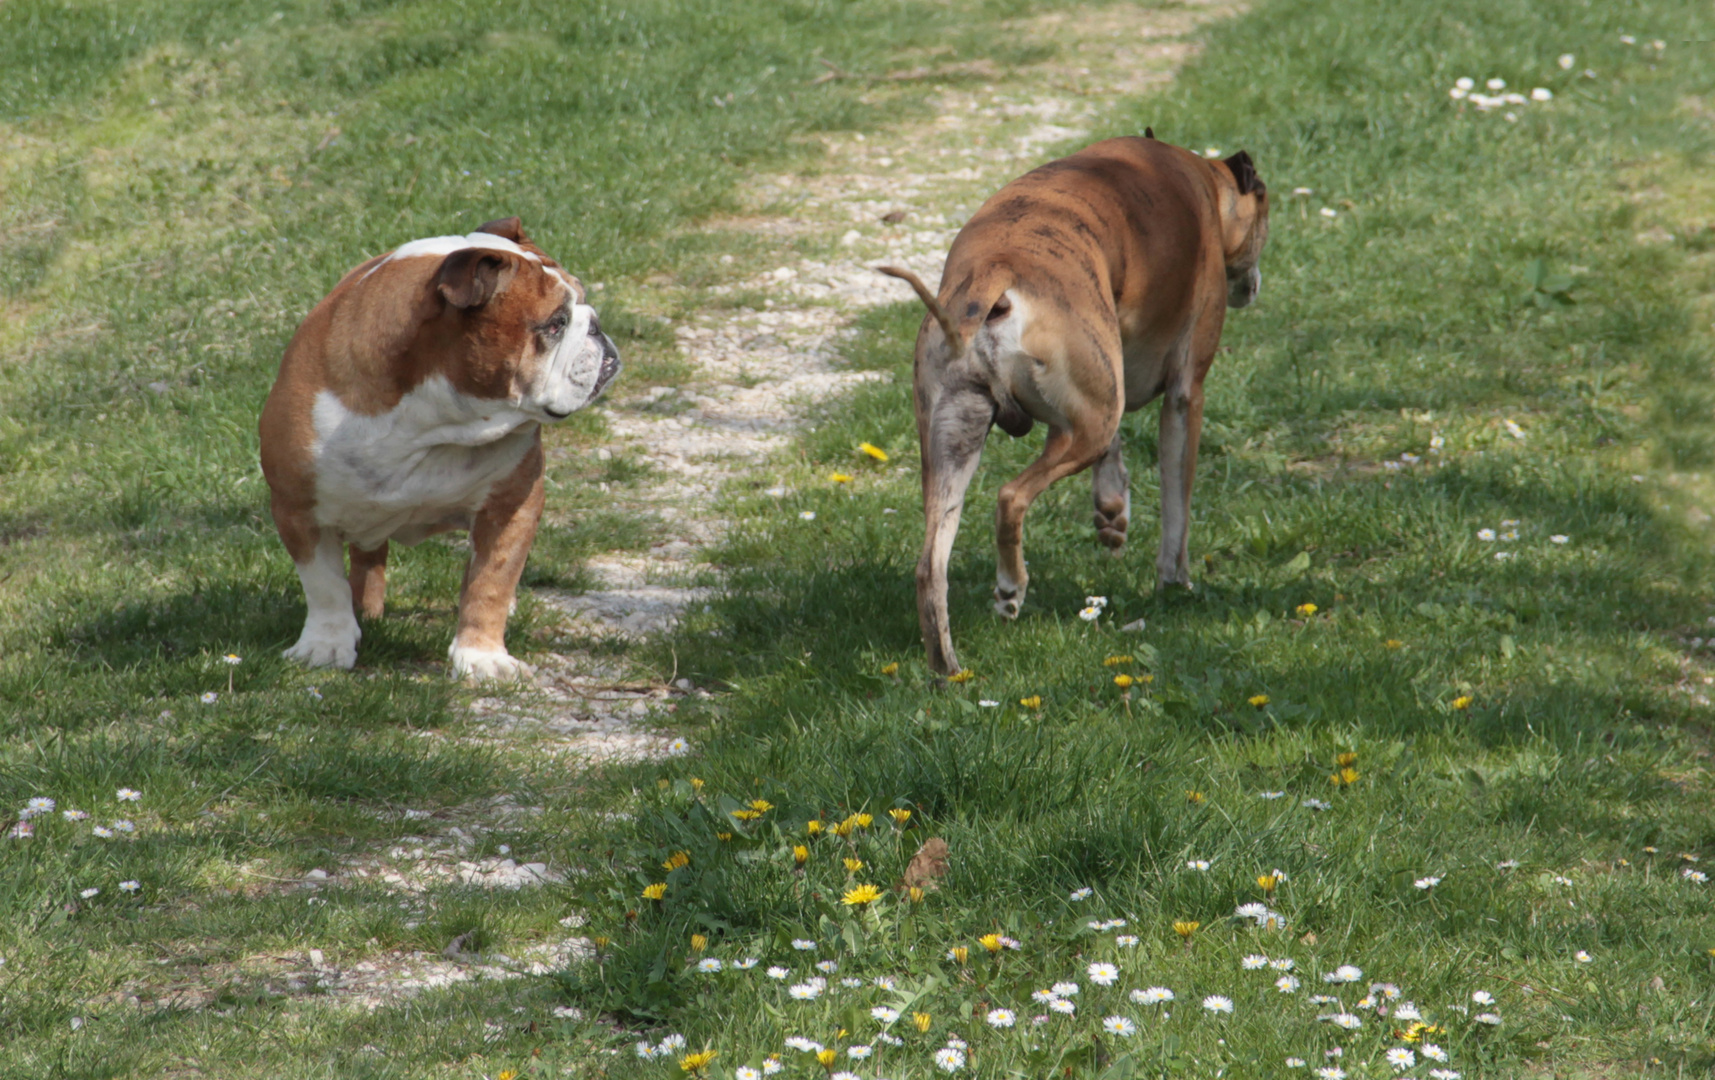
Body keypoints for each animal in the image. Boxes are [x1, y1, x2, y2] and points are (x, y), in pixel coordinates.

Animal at [884, 135, 1262, 678]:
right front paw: (1177, 584)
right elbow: (1178, 510)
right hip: (1085, 427)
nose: (1252, 286)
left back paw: (948, 672)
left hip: (958, 441)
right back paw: (1010, 590)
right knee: (1011, 497)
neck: (1199, 180)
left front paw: (1112, 510)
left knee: (929, 567)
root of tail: (996, 270)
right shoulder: (1185, 394)